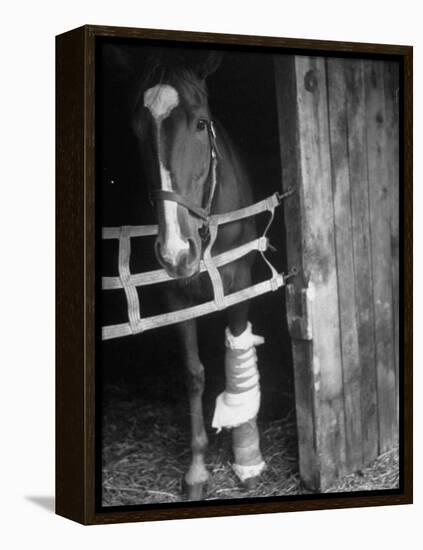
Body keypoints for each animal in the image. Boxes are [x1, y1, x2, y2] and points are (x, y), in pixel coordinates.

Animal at [130, 49, 268, 502]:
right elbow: (193, 374)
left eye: (201, 123)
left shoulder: (240, 283)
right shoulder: (176, 296)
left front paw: (247, 458)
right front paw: (196, 470)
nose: (176, 250)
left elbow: (236, 351)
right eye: (136, 130)